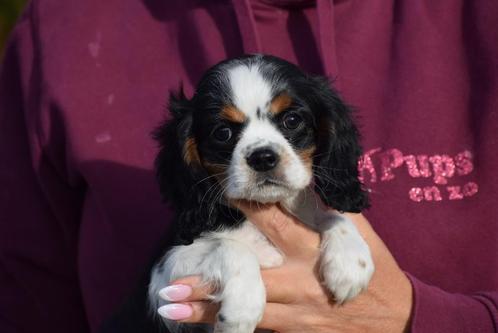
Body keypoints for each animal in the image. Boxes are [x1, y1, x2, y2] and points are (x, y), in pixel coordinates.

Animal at [150, 54, 372, 332]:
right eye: (222, 133)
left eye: (292, 120)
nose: (263, 158)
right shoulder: (165, 282)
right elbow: (228, 245)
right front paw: (242, 307)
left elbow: (332, 215)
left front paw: (352, 262)